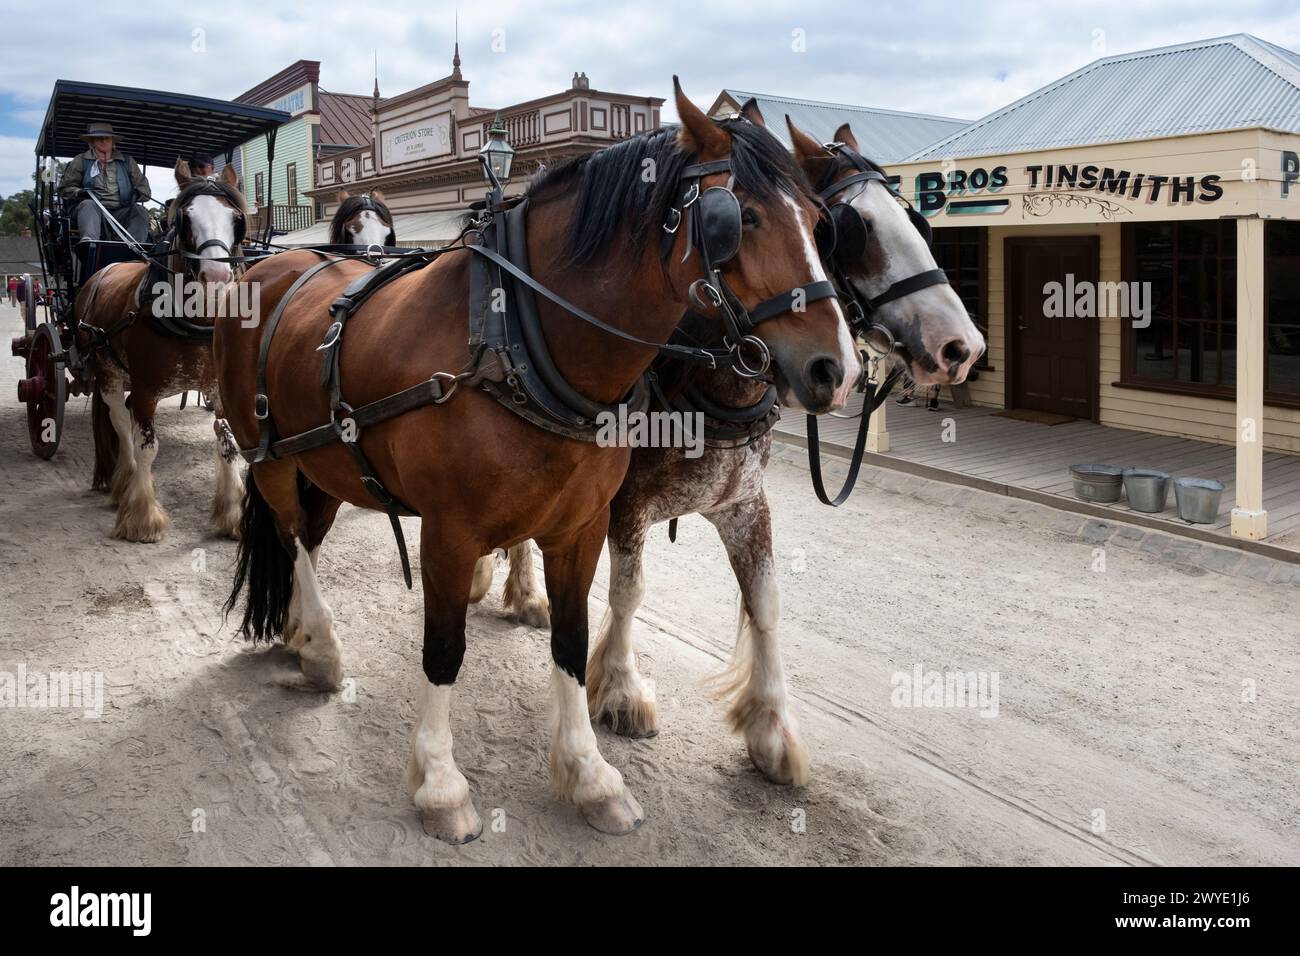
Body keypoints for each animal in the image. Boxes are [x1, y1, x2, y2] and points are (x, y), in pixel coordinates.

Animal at [80, 160, 248, 541]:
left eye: (236, 219)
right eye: (184, 219)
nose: (217, 279)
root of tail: (105, 268)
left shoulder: (221, 388)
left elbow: (228, 444)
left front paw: (232, 512)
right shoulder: (145, 391)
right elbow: (146, 447)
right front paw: (141, 515)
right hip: (108, 374)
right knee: (120, 422)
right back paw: (124, 483)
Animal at [217, 83, 857, 842]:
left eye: (821, 222)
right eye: (742, 218)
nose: (836, 369)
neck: (513, 339)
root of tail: (272, 262)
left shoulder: (581, 527)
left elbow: (572, 641)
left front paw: (589, 774)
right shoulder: (450, 533)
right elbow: (444, 649)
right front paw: (440, 784)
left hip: (324, 466)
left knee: (307, 539)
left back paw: (299, 631)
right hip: (266, 455)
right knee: (290, 536)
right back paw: (321, 646)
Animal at [486, 111, 982, 785]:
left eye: (918, 222)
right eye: (852, 229)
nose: (961, 346)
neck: (697, 372)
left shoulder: (745, 504)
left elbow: (766, 603)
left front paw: (770, 727)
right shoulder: (624, 505)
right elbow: (628, 591)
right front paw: (620, 688)